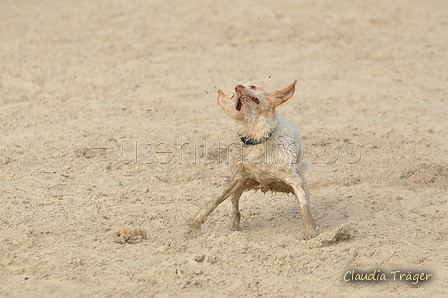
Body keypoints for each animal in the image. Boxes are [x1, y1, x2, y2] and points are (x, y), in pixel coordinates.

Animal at [186, 80, 318, 239]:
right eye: (232, 95)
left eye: (253, 86)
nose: (238, 87)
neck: (257, 136)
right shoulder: (236, 178)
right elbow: (214, 200)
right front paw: (195, 222)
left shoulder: (294, 180)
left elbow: (304, 207)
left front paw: (311, 232)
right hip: (240, 186)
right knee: (235, 207)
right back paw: (236, 228)